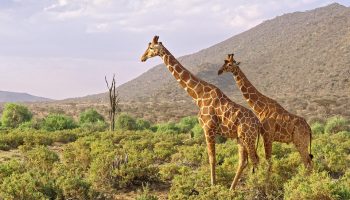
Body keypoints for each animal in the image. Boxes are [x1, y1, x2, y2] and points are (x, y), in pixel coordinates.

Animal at [141, 36, 262, 191]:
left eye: (151, 47)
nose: (142, 58)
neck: (198, 95)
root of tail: (258, 123)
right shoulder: (209, 129)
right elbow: (212, 158)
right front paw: (214, 185)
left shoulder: (208, 128)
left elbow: (212, 158)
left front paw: (213, 185)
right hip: (240, 138)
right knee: (244, 161)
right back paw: (231, 189)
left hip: (248, 137)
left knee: (255, 159)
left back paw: (259, 187)